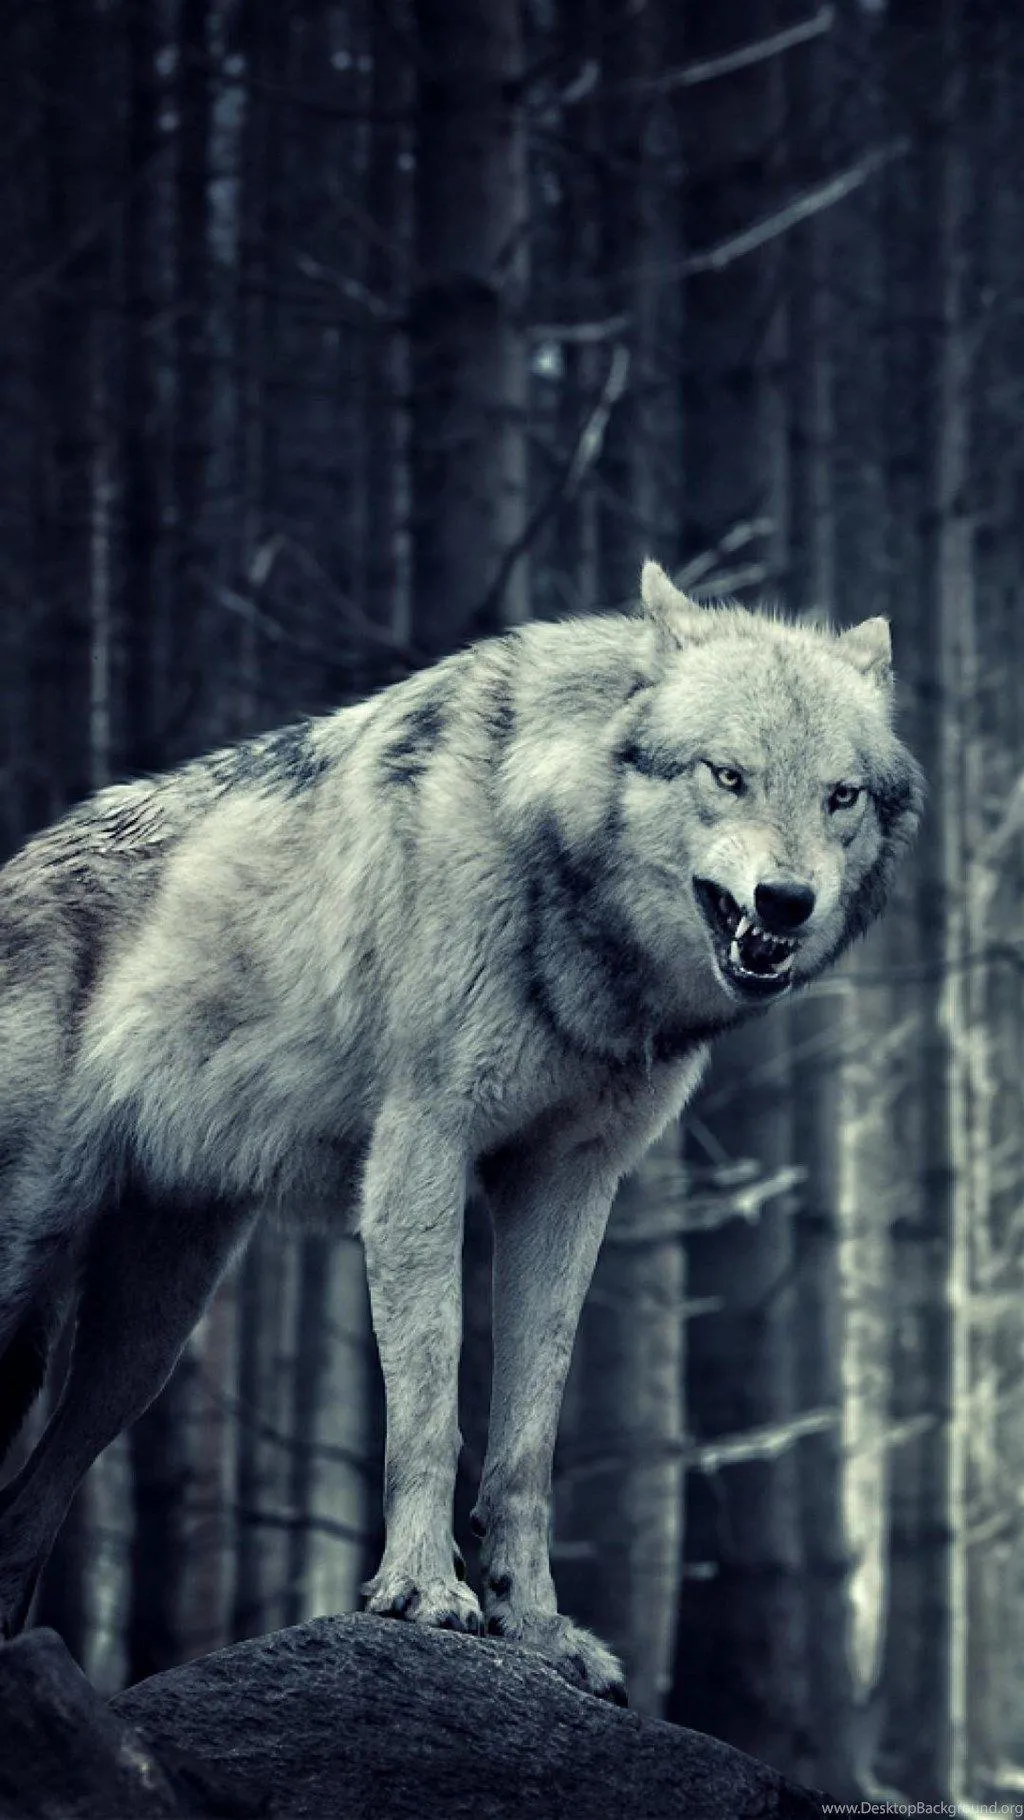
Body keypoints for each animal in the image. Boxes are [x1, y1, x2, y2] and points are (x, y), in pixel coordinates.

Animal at [0, 560, 921, 1697]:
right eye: (728, 774)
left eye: (839, 795)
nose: (786, 901)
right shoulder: (420, 1154)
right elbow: (429, 1412)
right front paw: (424, 1593)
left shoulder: (568, 1185)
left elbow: (525, 1442)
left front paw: (536, 1628)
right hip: (35, 1269)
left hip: (143, 1345)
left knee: (24, 1515)